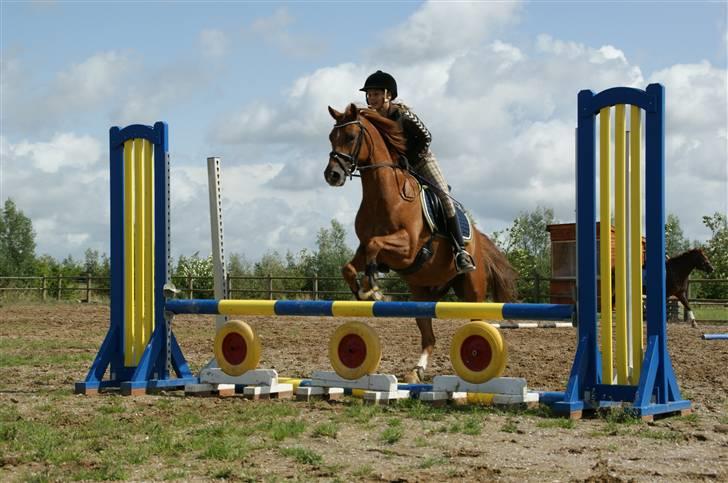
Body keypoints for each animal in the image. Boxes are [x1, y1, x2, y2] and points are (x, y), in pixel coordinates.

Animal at [324, 104, 516, 384]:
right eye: (331, 137)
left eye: (350, 137)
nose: (332, 175)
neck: (383, 195)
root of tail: (478, 239)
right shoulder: (365, 249)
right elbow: (351, 265)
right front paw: (364, 290)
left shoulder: (408, 247)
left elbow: (374, 245)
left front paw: (374, 289)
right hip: (422, 290)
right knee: (428, 335)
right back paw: (417, 370)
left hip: (472, 289)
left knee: (475, 320)